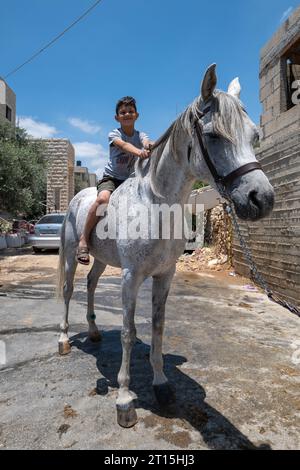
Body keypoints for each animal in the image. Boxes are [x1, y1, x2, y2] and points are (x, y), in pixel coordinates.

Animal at [56, 64, 274, 428]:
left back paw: (95, 332)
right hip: (73, 256)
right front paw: (125, 399)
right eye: (214, 136)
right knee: (69, 290)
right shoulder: (131, 277)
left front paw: (161, 383)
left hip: (101, 260)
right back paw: (62, 339)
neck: (156, 204)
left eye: (254, 135)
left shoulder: (165, 275)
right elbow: (128, 331)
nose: (262, 199)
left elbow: (158, 327)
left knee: (91, 284)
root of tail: (77, 199)